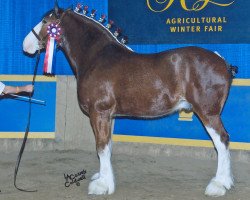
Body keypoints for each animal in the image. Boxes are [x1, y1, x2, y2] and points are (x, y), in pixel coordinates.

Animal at [22, 1, 237, 197]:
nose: (25, 45)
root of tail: (223, 62)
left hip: (208, 113)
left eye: (45, 21)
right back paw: (226, 182)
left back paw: (218, 185)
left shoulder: (99, 112)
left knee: (222, 141)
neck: (96, 57)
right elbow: (107, 146)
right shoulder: (108, 116)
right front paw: (104, 178)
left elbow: (101, 146)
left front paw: (102, 186)